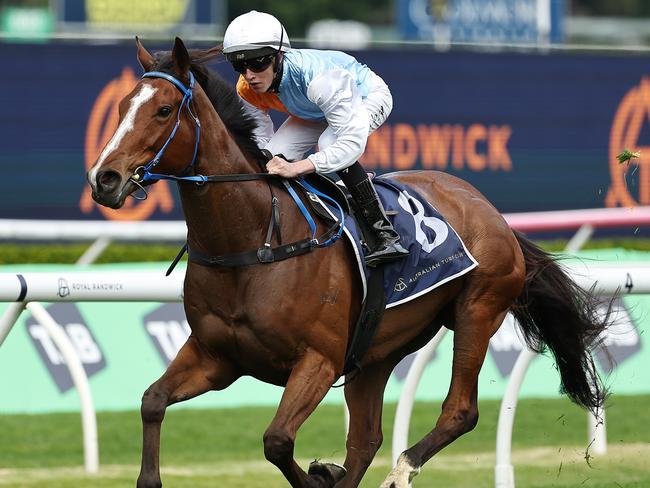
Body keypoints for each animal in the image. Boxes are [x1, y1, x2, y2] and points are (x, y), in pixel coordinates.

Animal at [87, 39, 608, 488]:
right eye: (121, 107)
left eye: (163, 110)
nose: (104, 179)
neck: (254, 242)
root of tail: (490, 210)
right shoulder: (217, 357)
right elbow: (152, 402)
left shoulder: (318, 360)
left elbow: (277, 441)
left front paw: (319, 476)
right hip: (376, 350)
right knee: (365, 438)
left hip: (478, 309)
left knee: (459, 410)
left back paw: (401, 470)